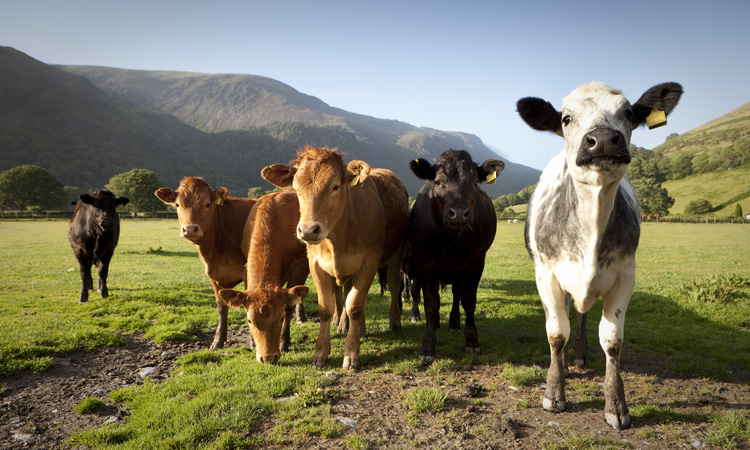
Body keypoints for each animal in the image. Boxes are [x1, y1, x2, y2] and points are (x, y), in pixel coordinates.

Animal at [154, 178, 258, 350]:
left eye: (207, 204)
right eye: (177, 204)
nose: (190, 229)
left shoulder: (248, 271)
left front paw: (253, 342)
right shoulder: (213, 275)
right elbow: (221, 308)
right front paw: (218, 342)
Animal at [217, 188, 312, 364]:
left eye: (280, 318)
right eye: (249, 320)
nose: (267, 358)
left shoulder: (299, 268)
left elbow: (289, 306)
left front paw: (284, 343)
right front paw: (252, 343)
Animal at [262, 147, 408, 370]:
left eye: (335, 187)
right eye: (296, 189)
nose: (308, 229)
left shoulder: (370, 261)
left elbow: (355, 305)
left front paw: (351, 354)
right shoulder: (315, 263)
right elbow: (327, 307)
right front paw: (320, 352)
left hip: (396, 253)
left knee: (392, 285)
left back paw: (394, 322)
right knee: (345, 293)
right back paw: (352, 327)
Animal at [406, 149, 506, 364]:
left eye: (475, 182)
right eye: (437, 182)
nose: (459, 213)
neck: (449, 238)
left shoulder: (475, 262)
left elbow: (468, 300)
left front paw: (472, 341)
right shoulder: (424, 263)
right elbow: (431, 303)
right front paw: (428, 346)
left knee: (456, 293)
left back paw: (453, 322)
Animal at [520, 82, 684, 430]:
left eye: (629, 114)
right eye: (566, 118)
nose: (604, 139)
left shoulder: (625, 275)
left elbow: (612, 340)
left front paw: (616, 406)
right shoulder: (546, 274)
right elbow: (556, 332)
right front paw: (554, 393)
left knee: (581, 315)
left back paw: (580, 354)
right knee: (568, 315)